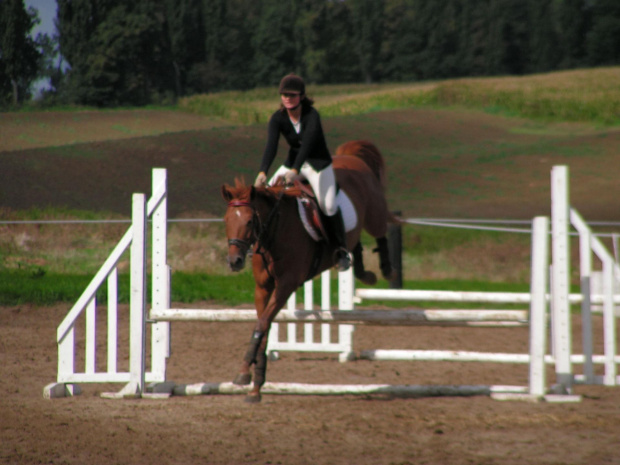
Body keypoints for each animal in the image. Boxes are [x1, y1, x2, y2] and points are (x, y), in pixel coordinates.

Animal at [220, 140, 400, 400]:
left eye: (250, 221)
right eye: (226, 220)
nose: (234, 261)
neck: (274, 232)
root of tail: (351, 157)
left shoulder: (286, 285)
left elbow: (262, 324)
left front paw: (245, 372)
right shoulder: (263, 288)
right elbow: (263, 326)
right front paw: (255, 383)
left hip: (374, 213)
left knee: (380, 230)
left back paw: (386, 271)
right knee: (354, 242)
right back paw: (362, 271)